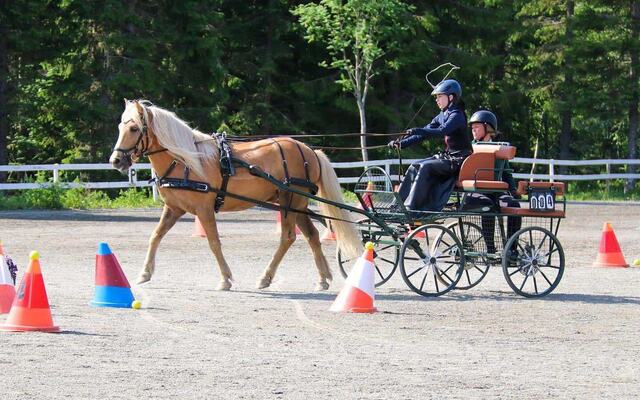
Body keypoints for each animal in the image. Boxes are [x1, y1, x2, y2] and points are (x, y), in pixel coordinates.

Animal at [108, 100, 362, 290]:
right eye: (120, 127)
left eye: (134, 129)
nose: (116, 160)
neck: (185, 161)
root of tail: (309, 151)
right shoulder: (173, 208)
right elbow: (155, 236)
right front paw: (144, 273)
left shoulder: (204, 209)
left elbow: (213, 242)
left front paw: (225, 279)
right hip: (296, 203)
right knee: (311, 236)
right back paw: (322, 279)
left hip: (290, 201)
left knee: (288, 237)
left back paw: (266, 277)